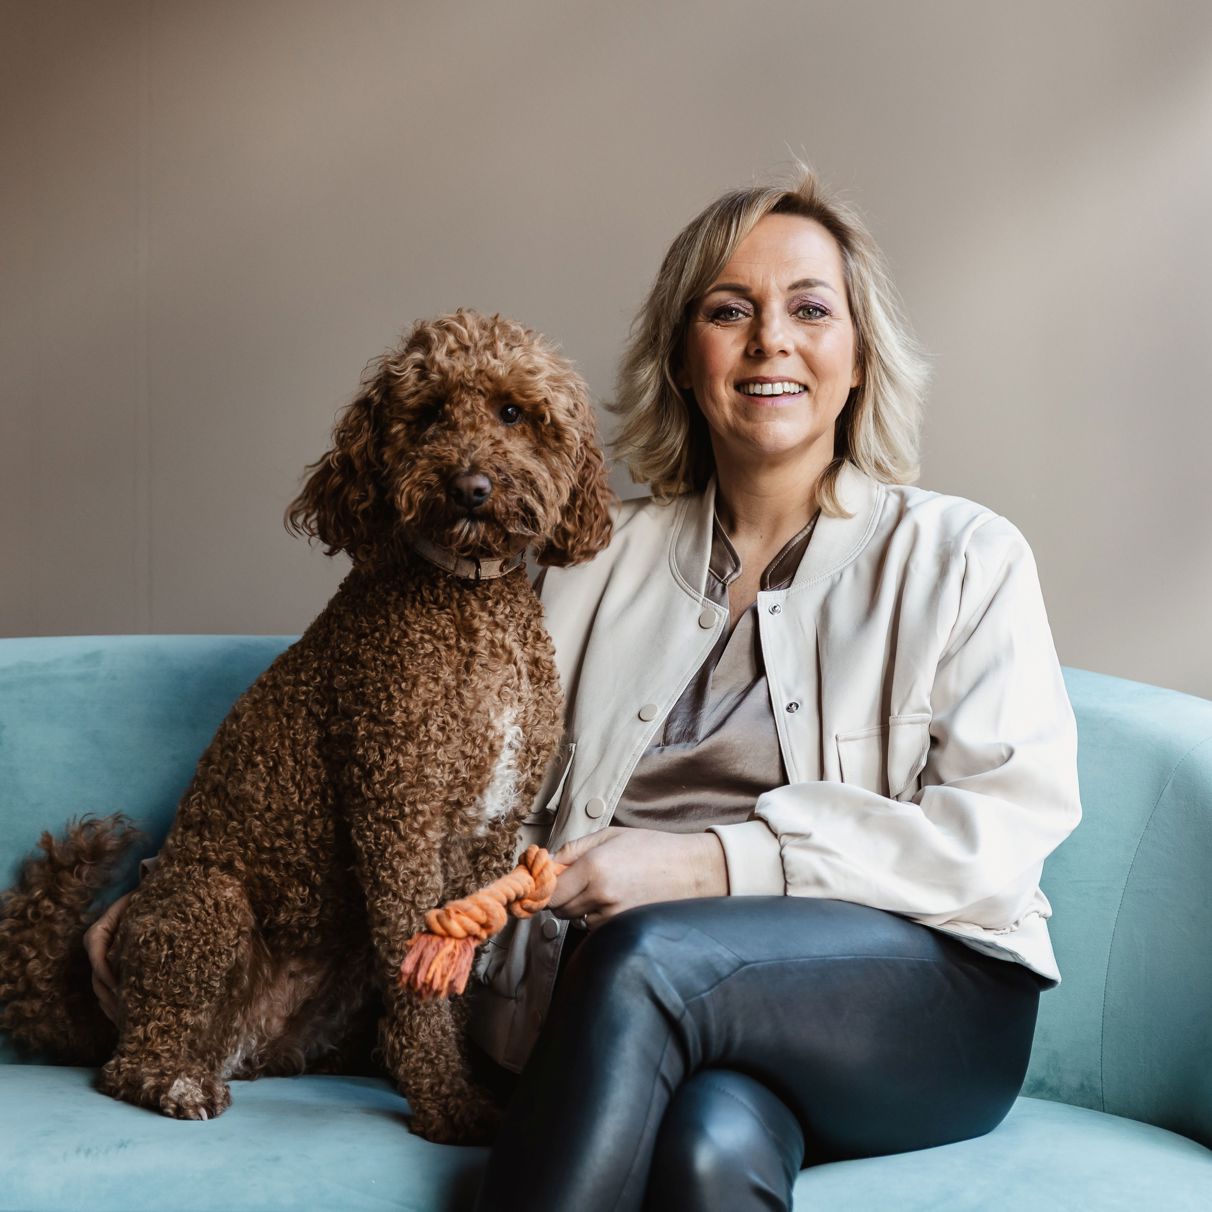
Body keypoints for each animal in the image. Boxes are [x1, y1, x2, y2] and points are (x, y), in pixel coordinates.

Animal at [0, 310, 614, 1144]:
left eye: (513, 411)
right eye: (426, 415)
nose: (470, 488)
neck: (468, 600)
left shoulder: (489, 832)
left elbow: (454, 976)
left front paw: (454, 1079)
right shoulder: (397, 806)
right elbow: (420, 977)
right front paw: (449, 1102)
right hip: (205, 905)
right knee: (135, 1056)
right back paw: (174, 1082)